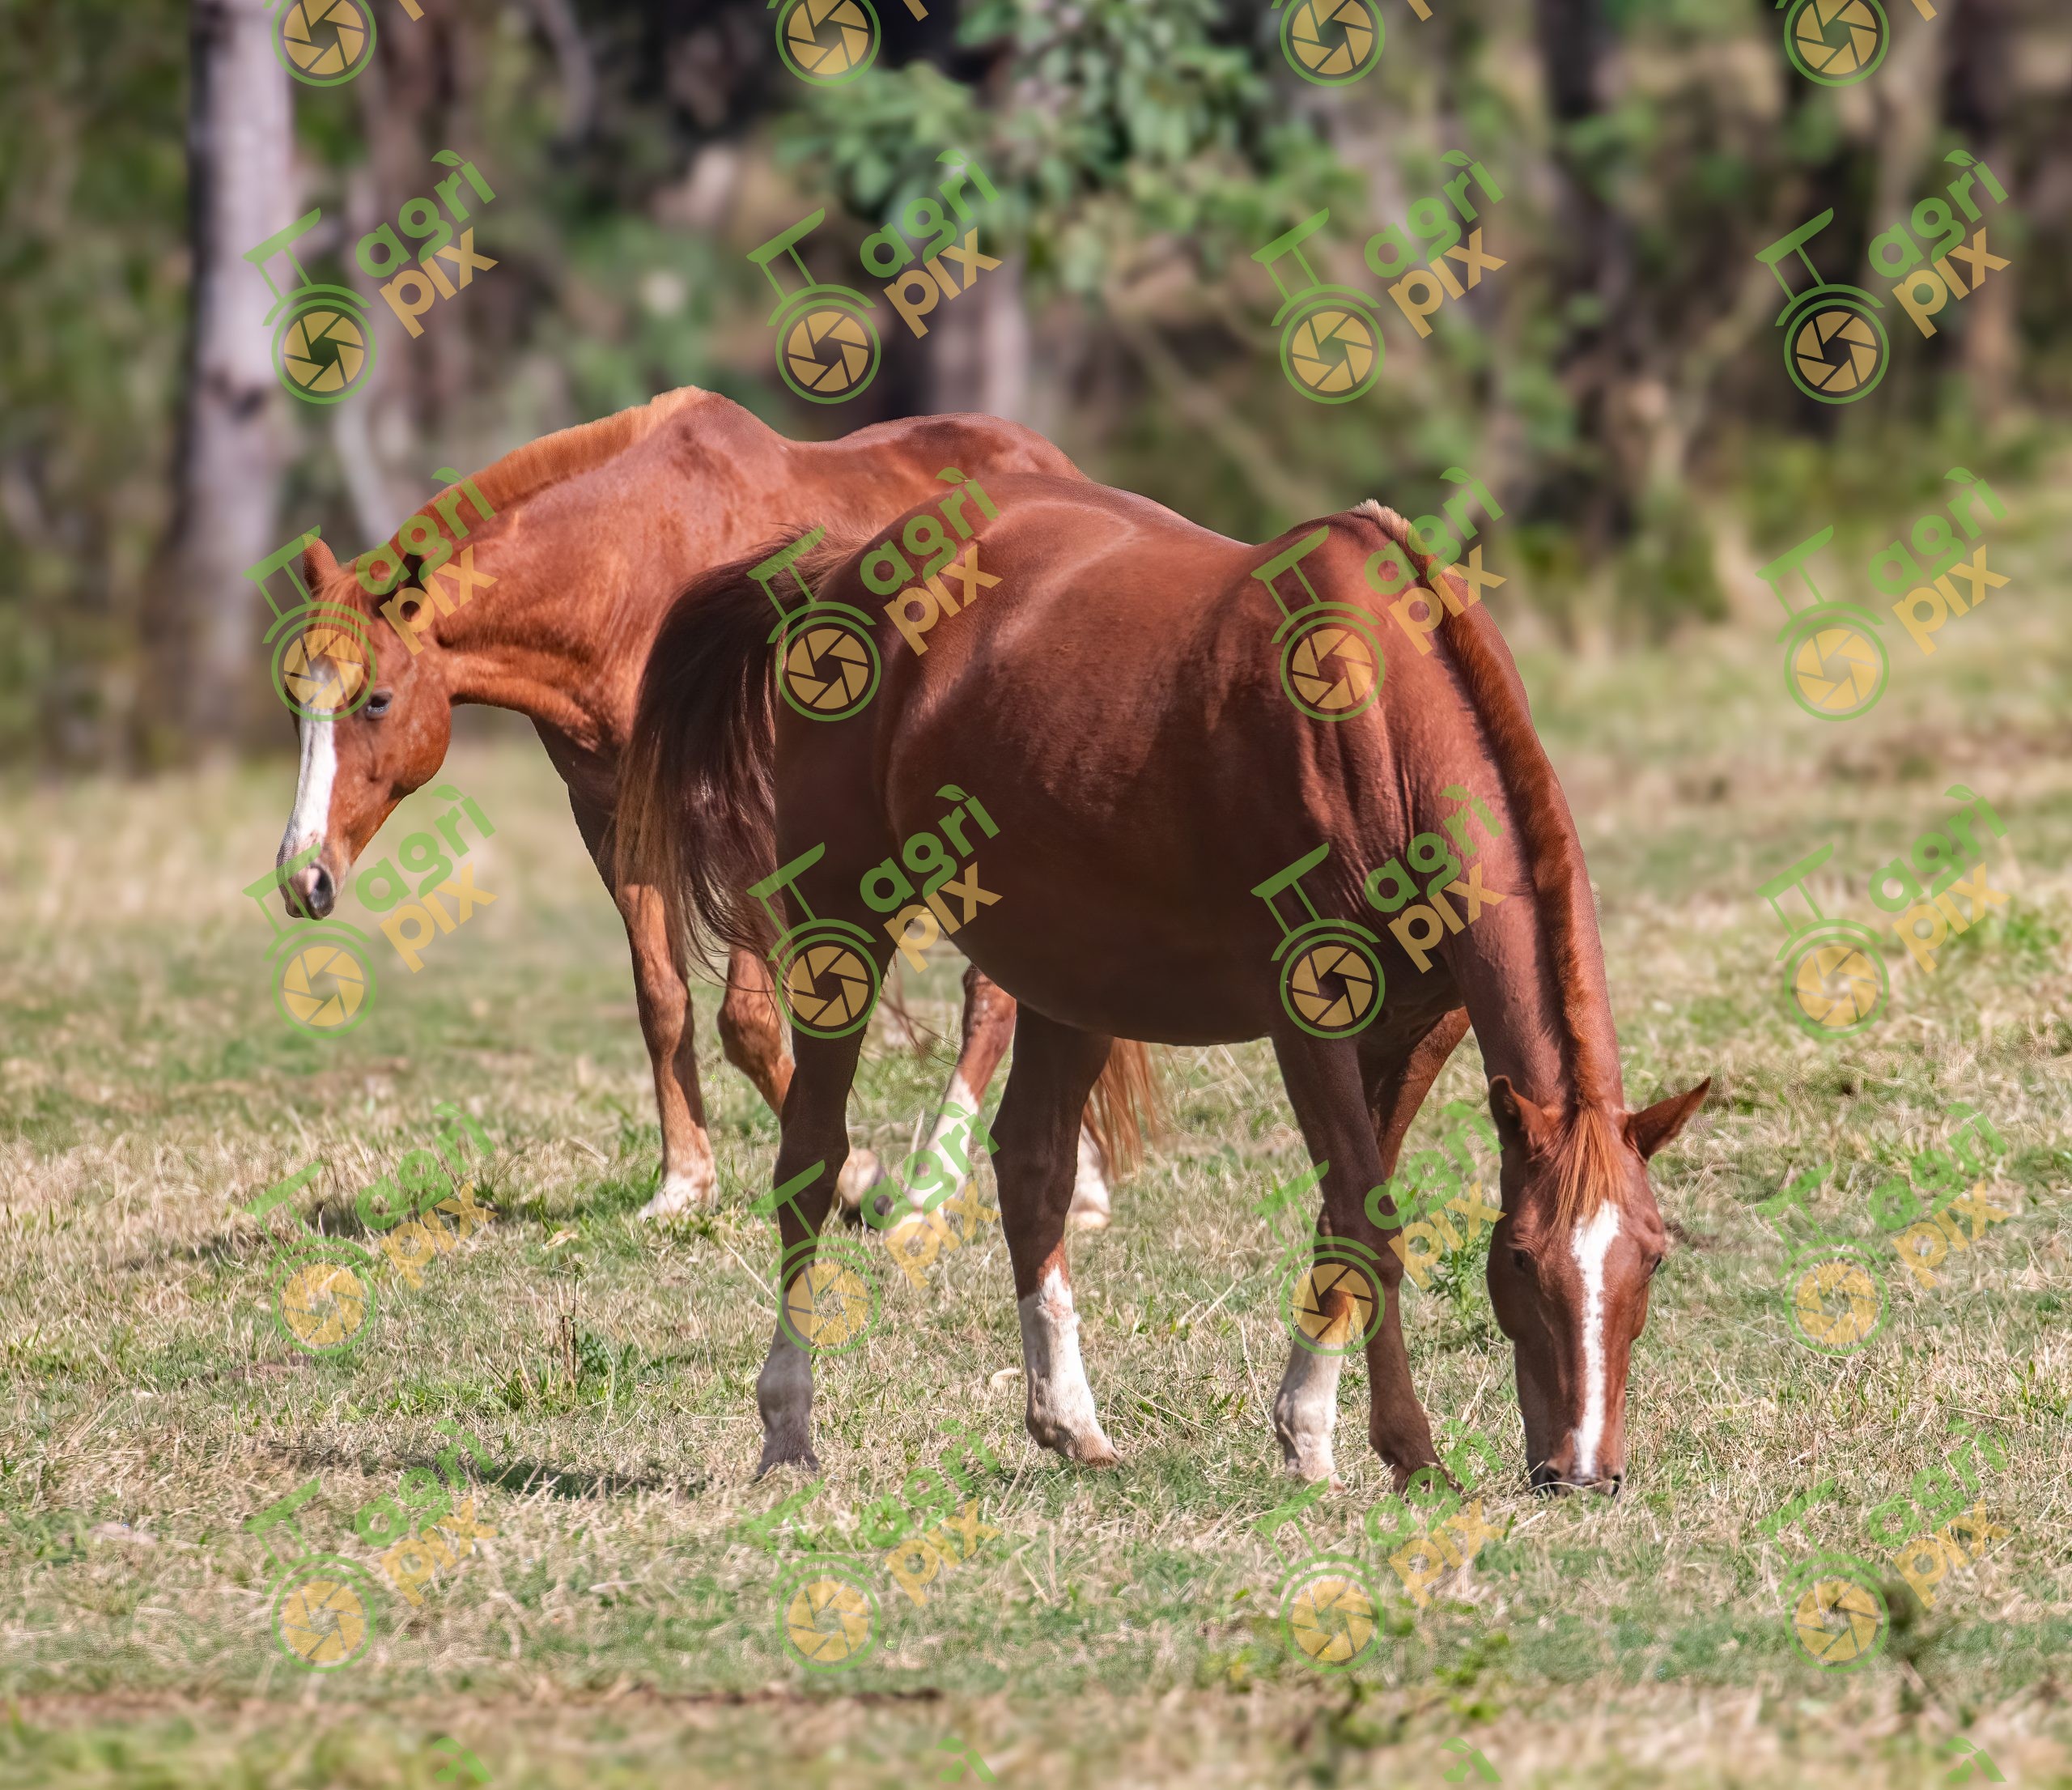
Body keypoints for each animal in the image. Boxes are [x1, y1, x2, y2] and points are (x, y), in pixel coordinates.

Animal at [267, 387, 1147, 1224]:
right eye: (293, 701)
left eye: (376, 700)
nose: (303, 877)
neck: (634, 578)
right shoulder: (616, 824)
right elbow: (664, 1002)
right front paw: (685, 1182)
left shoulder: (749, 821)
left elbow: (749, 1021)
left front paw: (858, 1177)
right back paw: (1083, 1185)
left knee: (991, 998)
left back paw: (933, 1185)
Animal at [616, 471, 1708, 1490]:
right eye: (1520, 1254)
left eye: (1652, 1253)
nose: (1582, 1470)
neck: (1379, 720)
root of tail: (844, 566)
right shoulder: (1309, 1019)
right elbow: (1366, 1219)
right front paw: (1403, 1450)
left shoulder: (1424, 1030)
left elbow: (1344, 1217)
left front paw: (1308, 1433)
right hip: (843, 923)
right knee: (811, 1158)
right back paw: (788, 1429)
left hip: (1072, 974)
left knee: (1033, 1167)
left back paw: (1071, 1424)